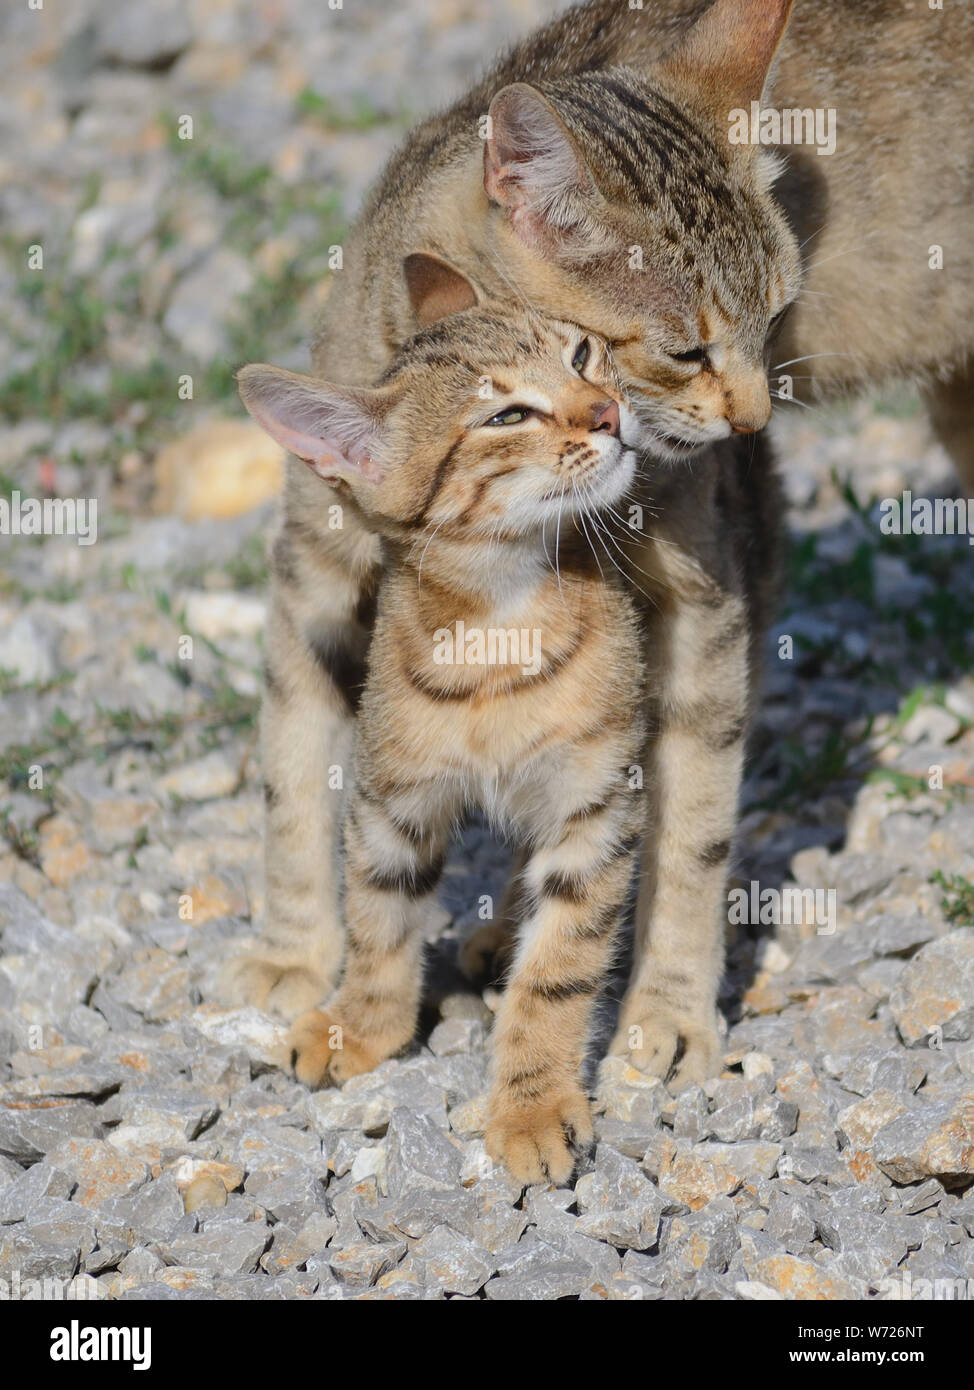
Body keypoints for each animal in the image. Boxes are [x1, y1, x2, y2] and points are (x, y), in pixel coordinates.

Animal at [229, 0, 972, 1084]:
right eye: (684, 350)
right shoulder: (315, 571)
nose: (755, 420)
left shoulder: (704, 607)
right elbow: (294, 772)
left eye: (777, 317)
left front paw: (664, 1007)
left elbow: (688, 830)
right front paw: (296, 954)